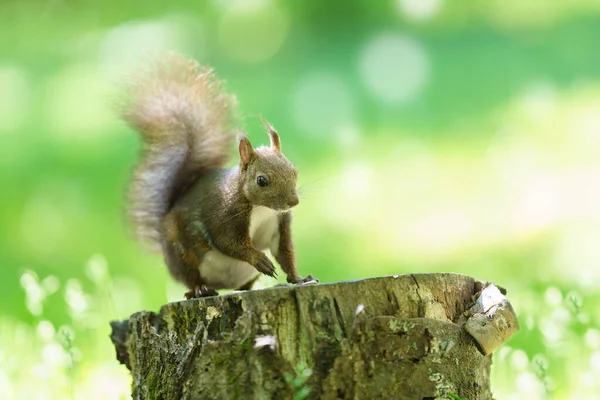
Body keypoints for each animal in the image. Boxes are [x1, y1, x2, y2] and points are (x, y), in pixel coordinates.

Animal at [122, 52, 318, 296]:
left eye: (294, 170)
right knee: (191, 280)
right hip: (181, 253)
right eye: (261, 180)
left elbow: (284, 252)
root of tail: (223, 286)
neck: (261, 208)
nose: (293, 202)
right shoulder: (223, 215)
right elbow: (228, 242)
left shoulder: (279, 223)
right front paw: (258, 258)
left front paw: (299, 279)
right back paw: (201, 289)